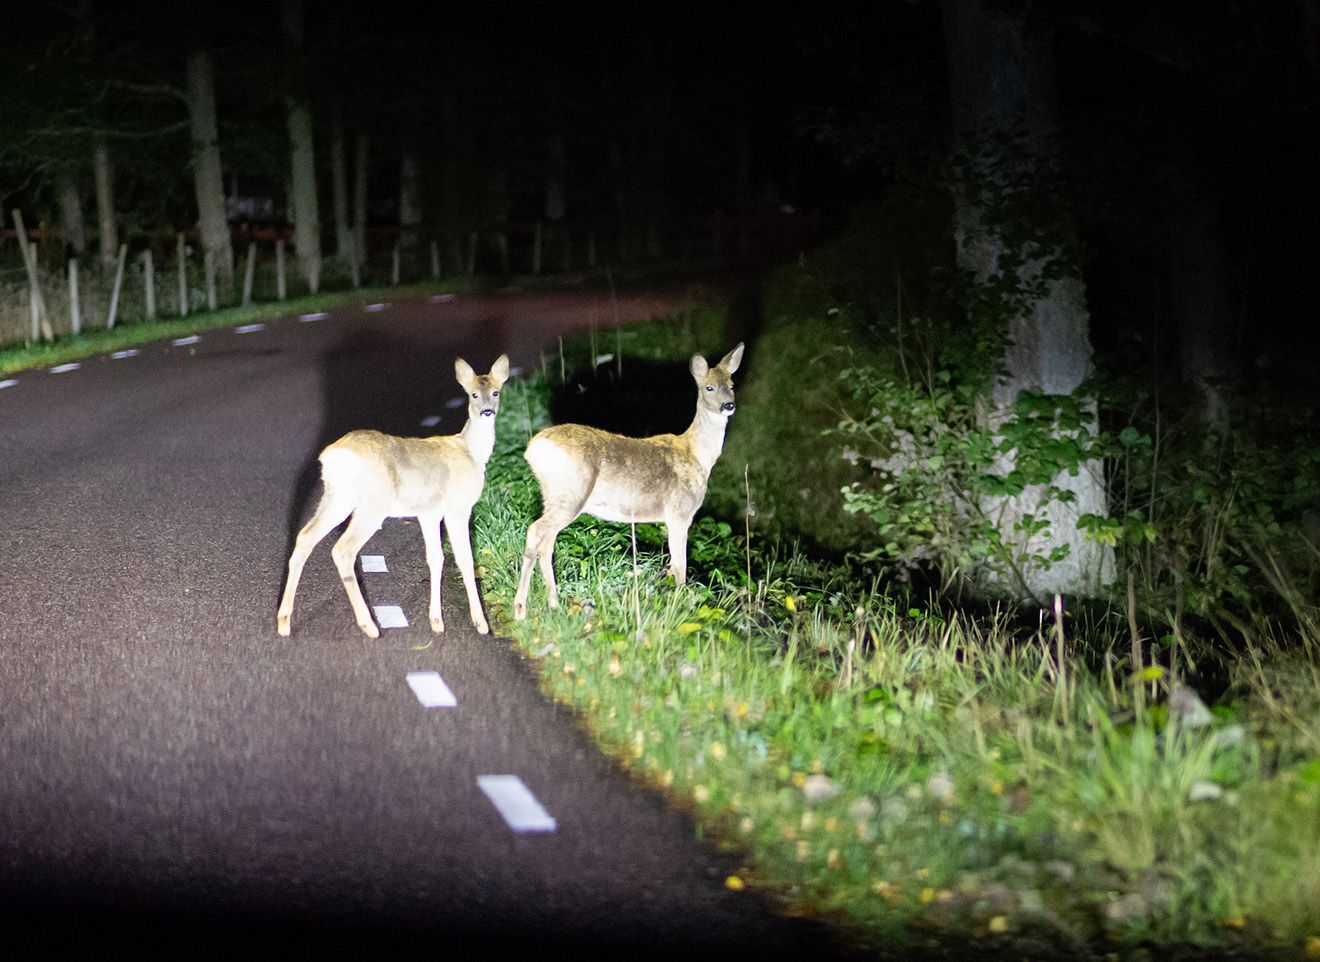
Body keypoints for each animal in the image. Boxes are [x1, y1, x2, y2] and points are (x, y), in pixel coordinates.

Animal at [277, 354, 510, 639]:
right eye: (474, 394)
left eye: (496, 392)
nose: (487, 411)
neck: (472, 452)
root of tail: (333, 455)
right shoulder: (458, 506)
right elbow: (465, 558)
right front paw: (480, 623)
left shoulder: (429, 512)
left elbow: (436, 558)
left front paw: (436, 622)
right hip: (372, 503)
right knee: (343, 549)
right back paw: (369, 626)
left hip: (337, 496)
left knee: (305, 536)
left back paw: (284, 622)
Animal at [512, 342, 744, 620]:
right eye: (709, 387)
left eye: (731, 384)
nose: (729, 405)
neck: (697, 454)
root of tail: (533, 449)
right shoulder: (679, 512)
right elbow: (680, 566)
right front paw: (681, 607)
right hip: (572, 494)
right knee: (536, 531)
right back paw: (521, 609)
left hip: (554, 496)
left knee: (546, 542)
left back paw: (554, 603)